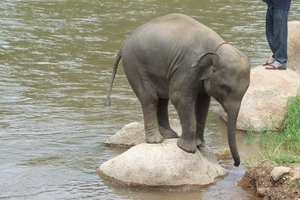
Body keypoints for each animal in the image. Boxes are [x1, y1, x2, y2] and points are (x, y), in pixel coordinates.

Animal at [105, 13, 251, 167]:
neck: (216, 49)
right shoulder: (187, 67)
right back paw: (156, 140)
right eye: (226, 88)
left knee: (162, 99)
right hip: (135, 66)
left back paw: (170, 136)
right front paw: (188, 149)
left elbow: (203, 103)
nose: (235, 164)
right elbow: (179, 98)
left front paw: (200, 145)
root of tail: (124, 43)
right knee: (151, 98)